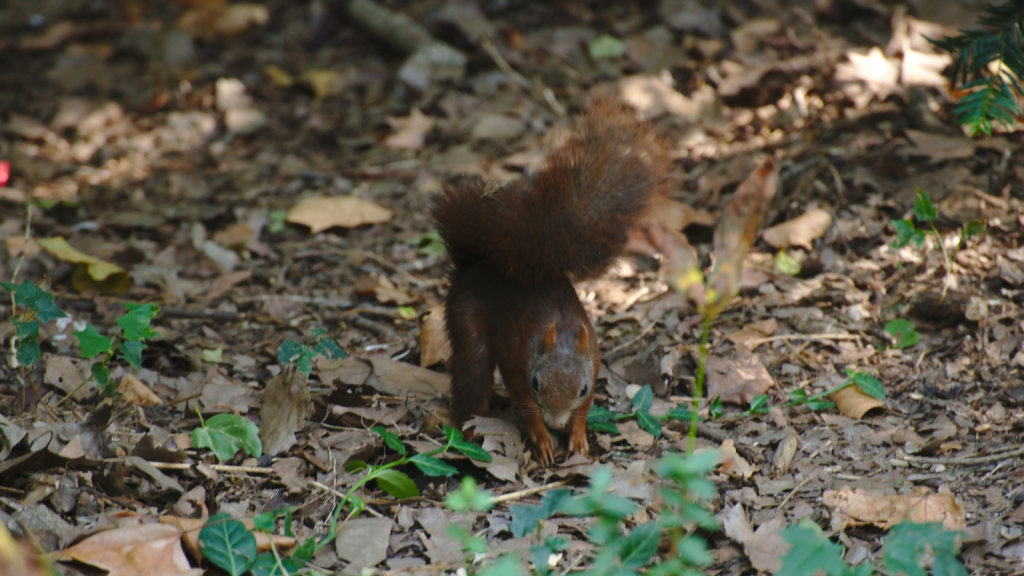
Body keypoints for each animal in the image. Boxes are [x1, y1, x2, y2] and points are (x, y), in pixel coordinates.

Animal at [430, 95, 663, 461]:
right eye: (537, 383)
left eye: (582, 388)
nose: (556, 422)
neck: (563, 333)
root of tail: (473, 267)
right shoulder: (514, 360)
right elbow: (526, 405)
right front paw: (541, 436)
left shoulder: (593, 363)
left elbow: (584, 410)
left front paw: (577, 436)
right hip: (468, 324)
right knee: (473, 372)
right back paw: (465, 427)